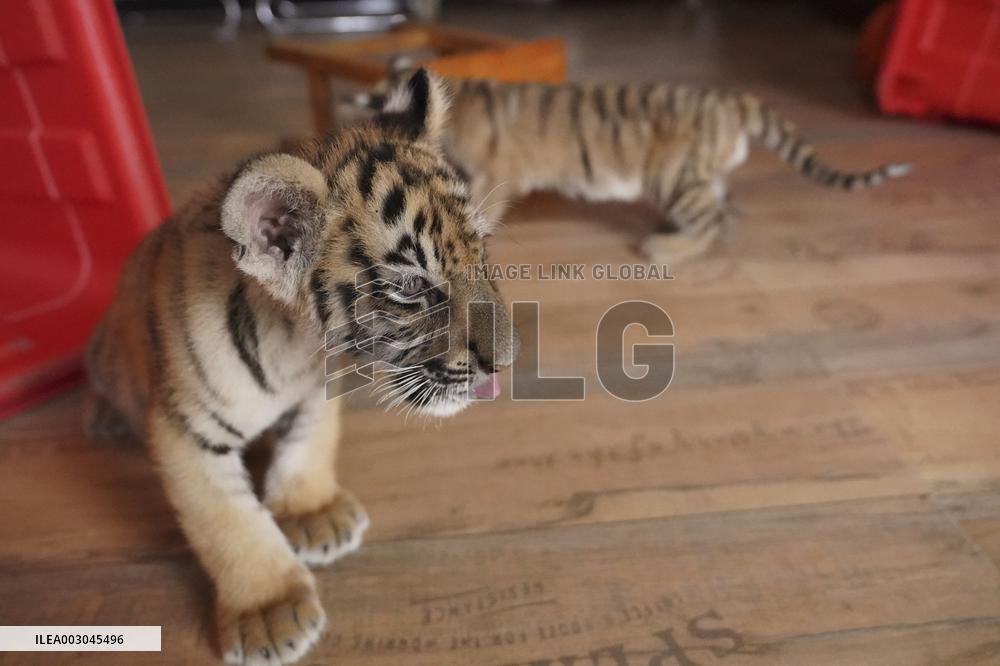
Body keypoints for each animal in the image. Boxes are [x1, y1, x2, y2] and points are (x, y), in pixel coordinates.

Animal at [84, 68, 518, 665]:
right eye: (412, 287)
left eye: (483, 249)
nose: (506, 361)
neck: (296, 342)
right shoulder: (184, 429)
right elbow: (228, 522)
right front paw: (269, 612)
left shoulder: (317, 389)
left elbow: (309, 444)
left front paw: (313, 514)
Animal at [349, 68, 911, 264]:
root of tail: (731, 100)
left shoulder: (495, 171)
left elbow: (481, 207)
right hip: (699, 175)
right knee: (725, 210)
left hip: (672, 177)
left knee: (712, 218)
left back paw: (665, 248)